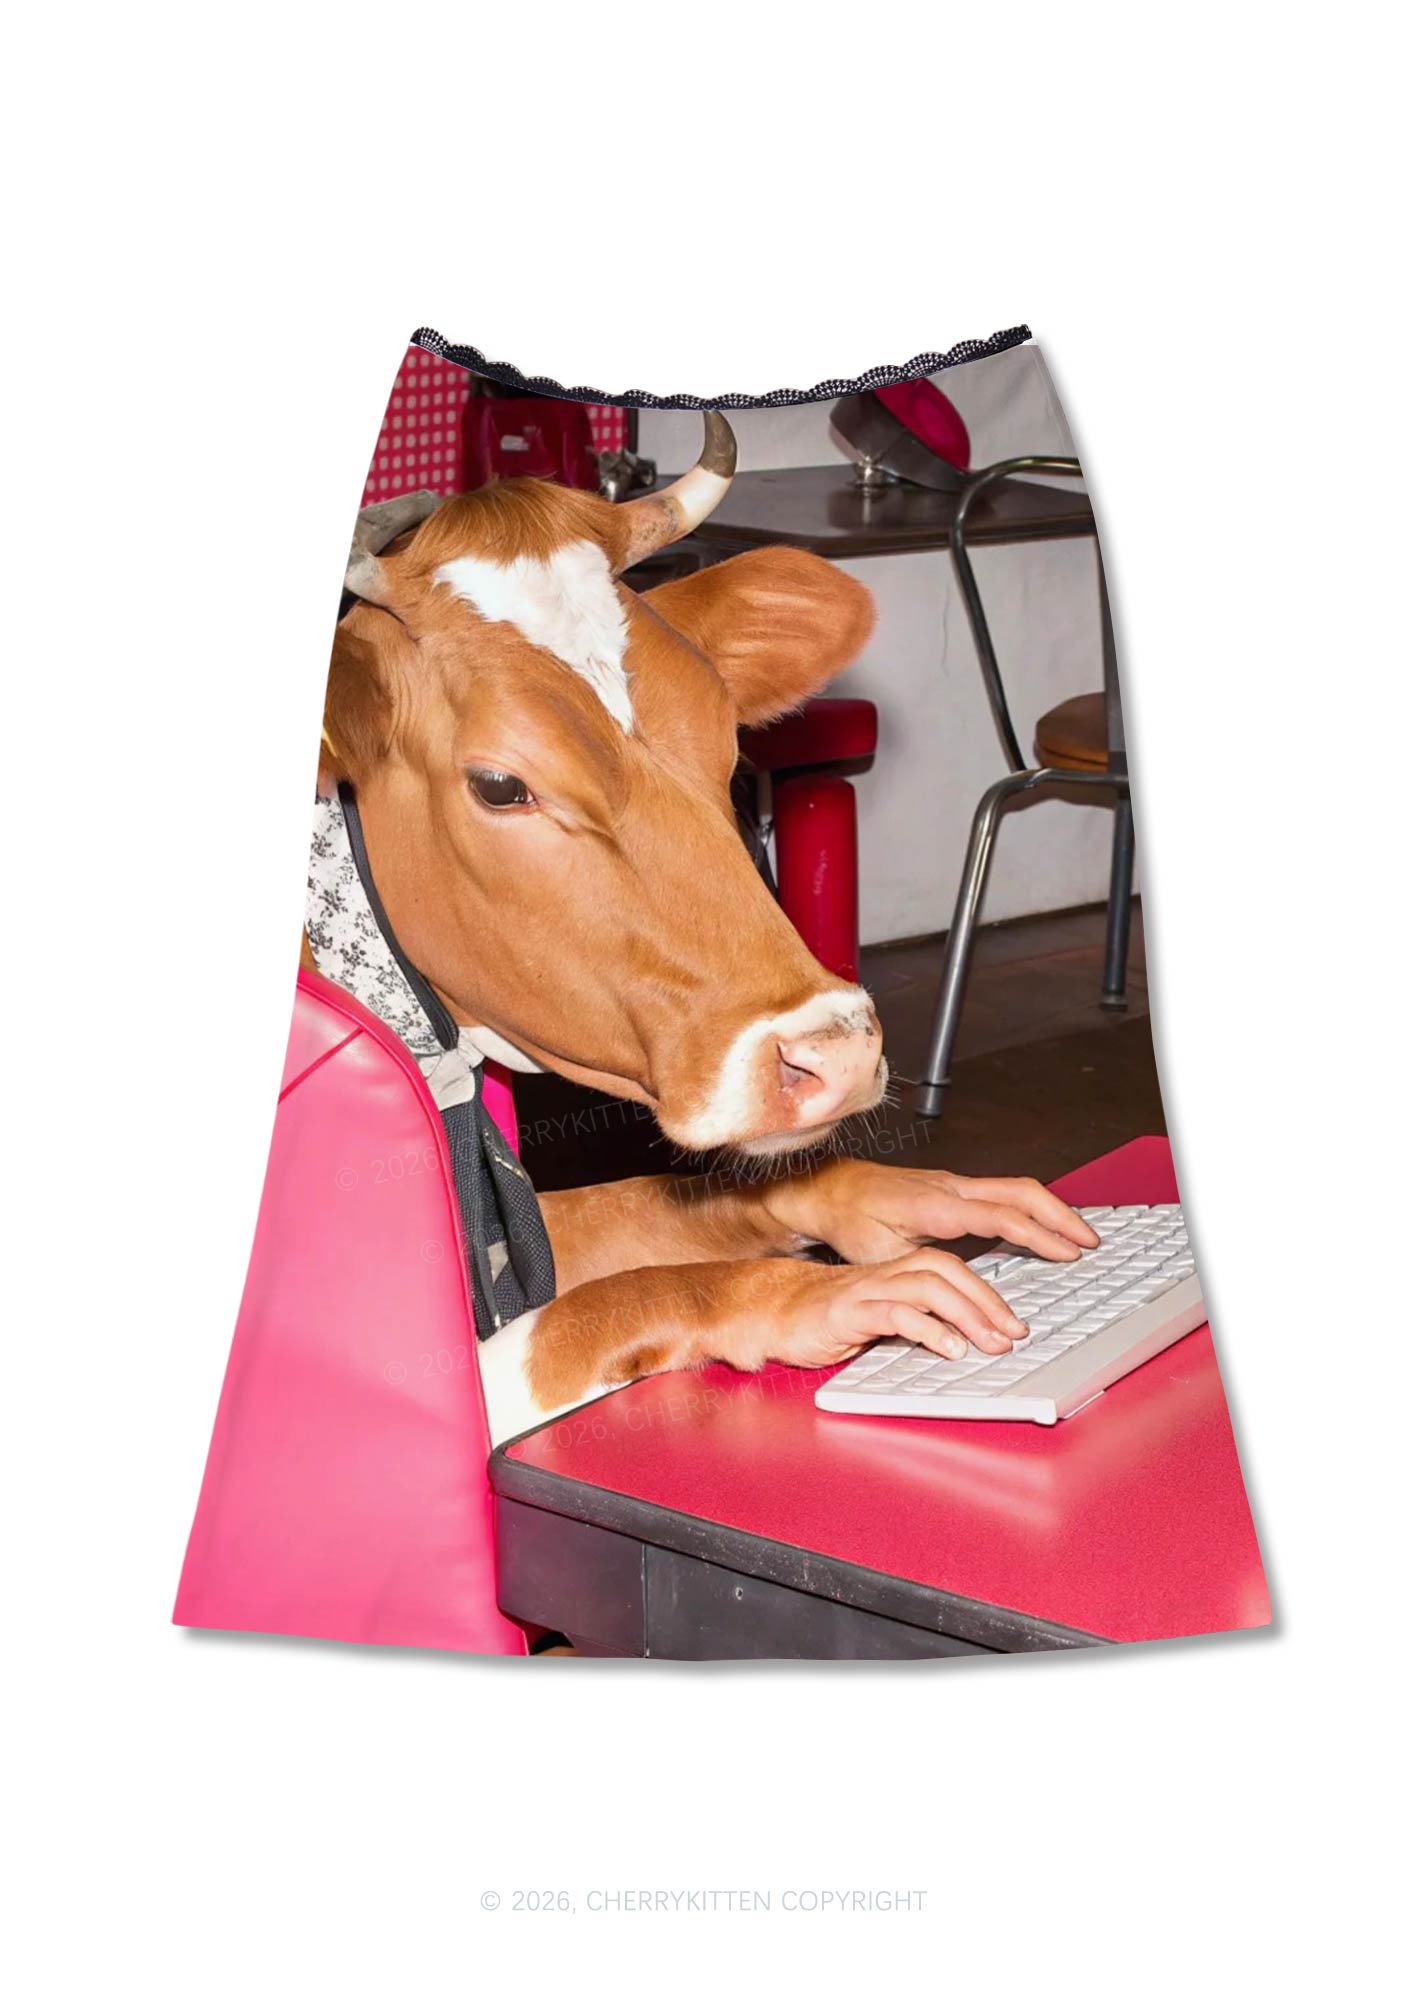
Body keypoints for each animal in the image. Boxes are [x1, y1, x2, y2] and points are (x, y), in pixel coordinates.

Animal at [317, 413, 1097, 1443]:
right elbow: (611, 1300)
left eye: (727, 738)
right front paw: (814, 1295)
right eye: (499, 784)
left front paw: (895, 1197)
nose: (836, 1054)